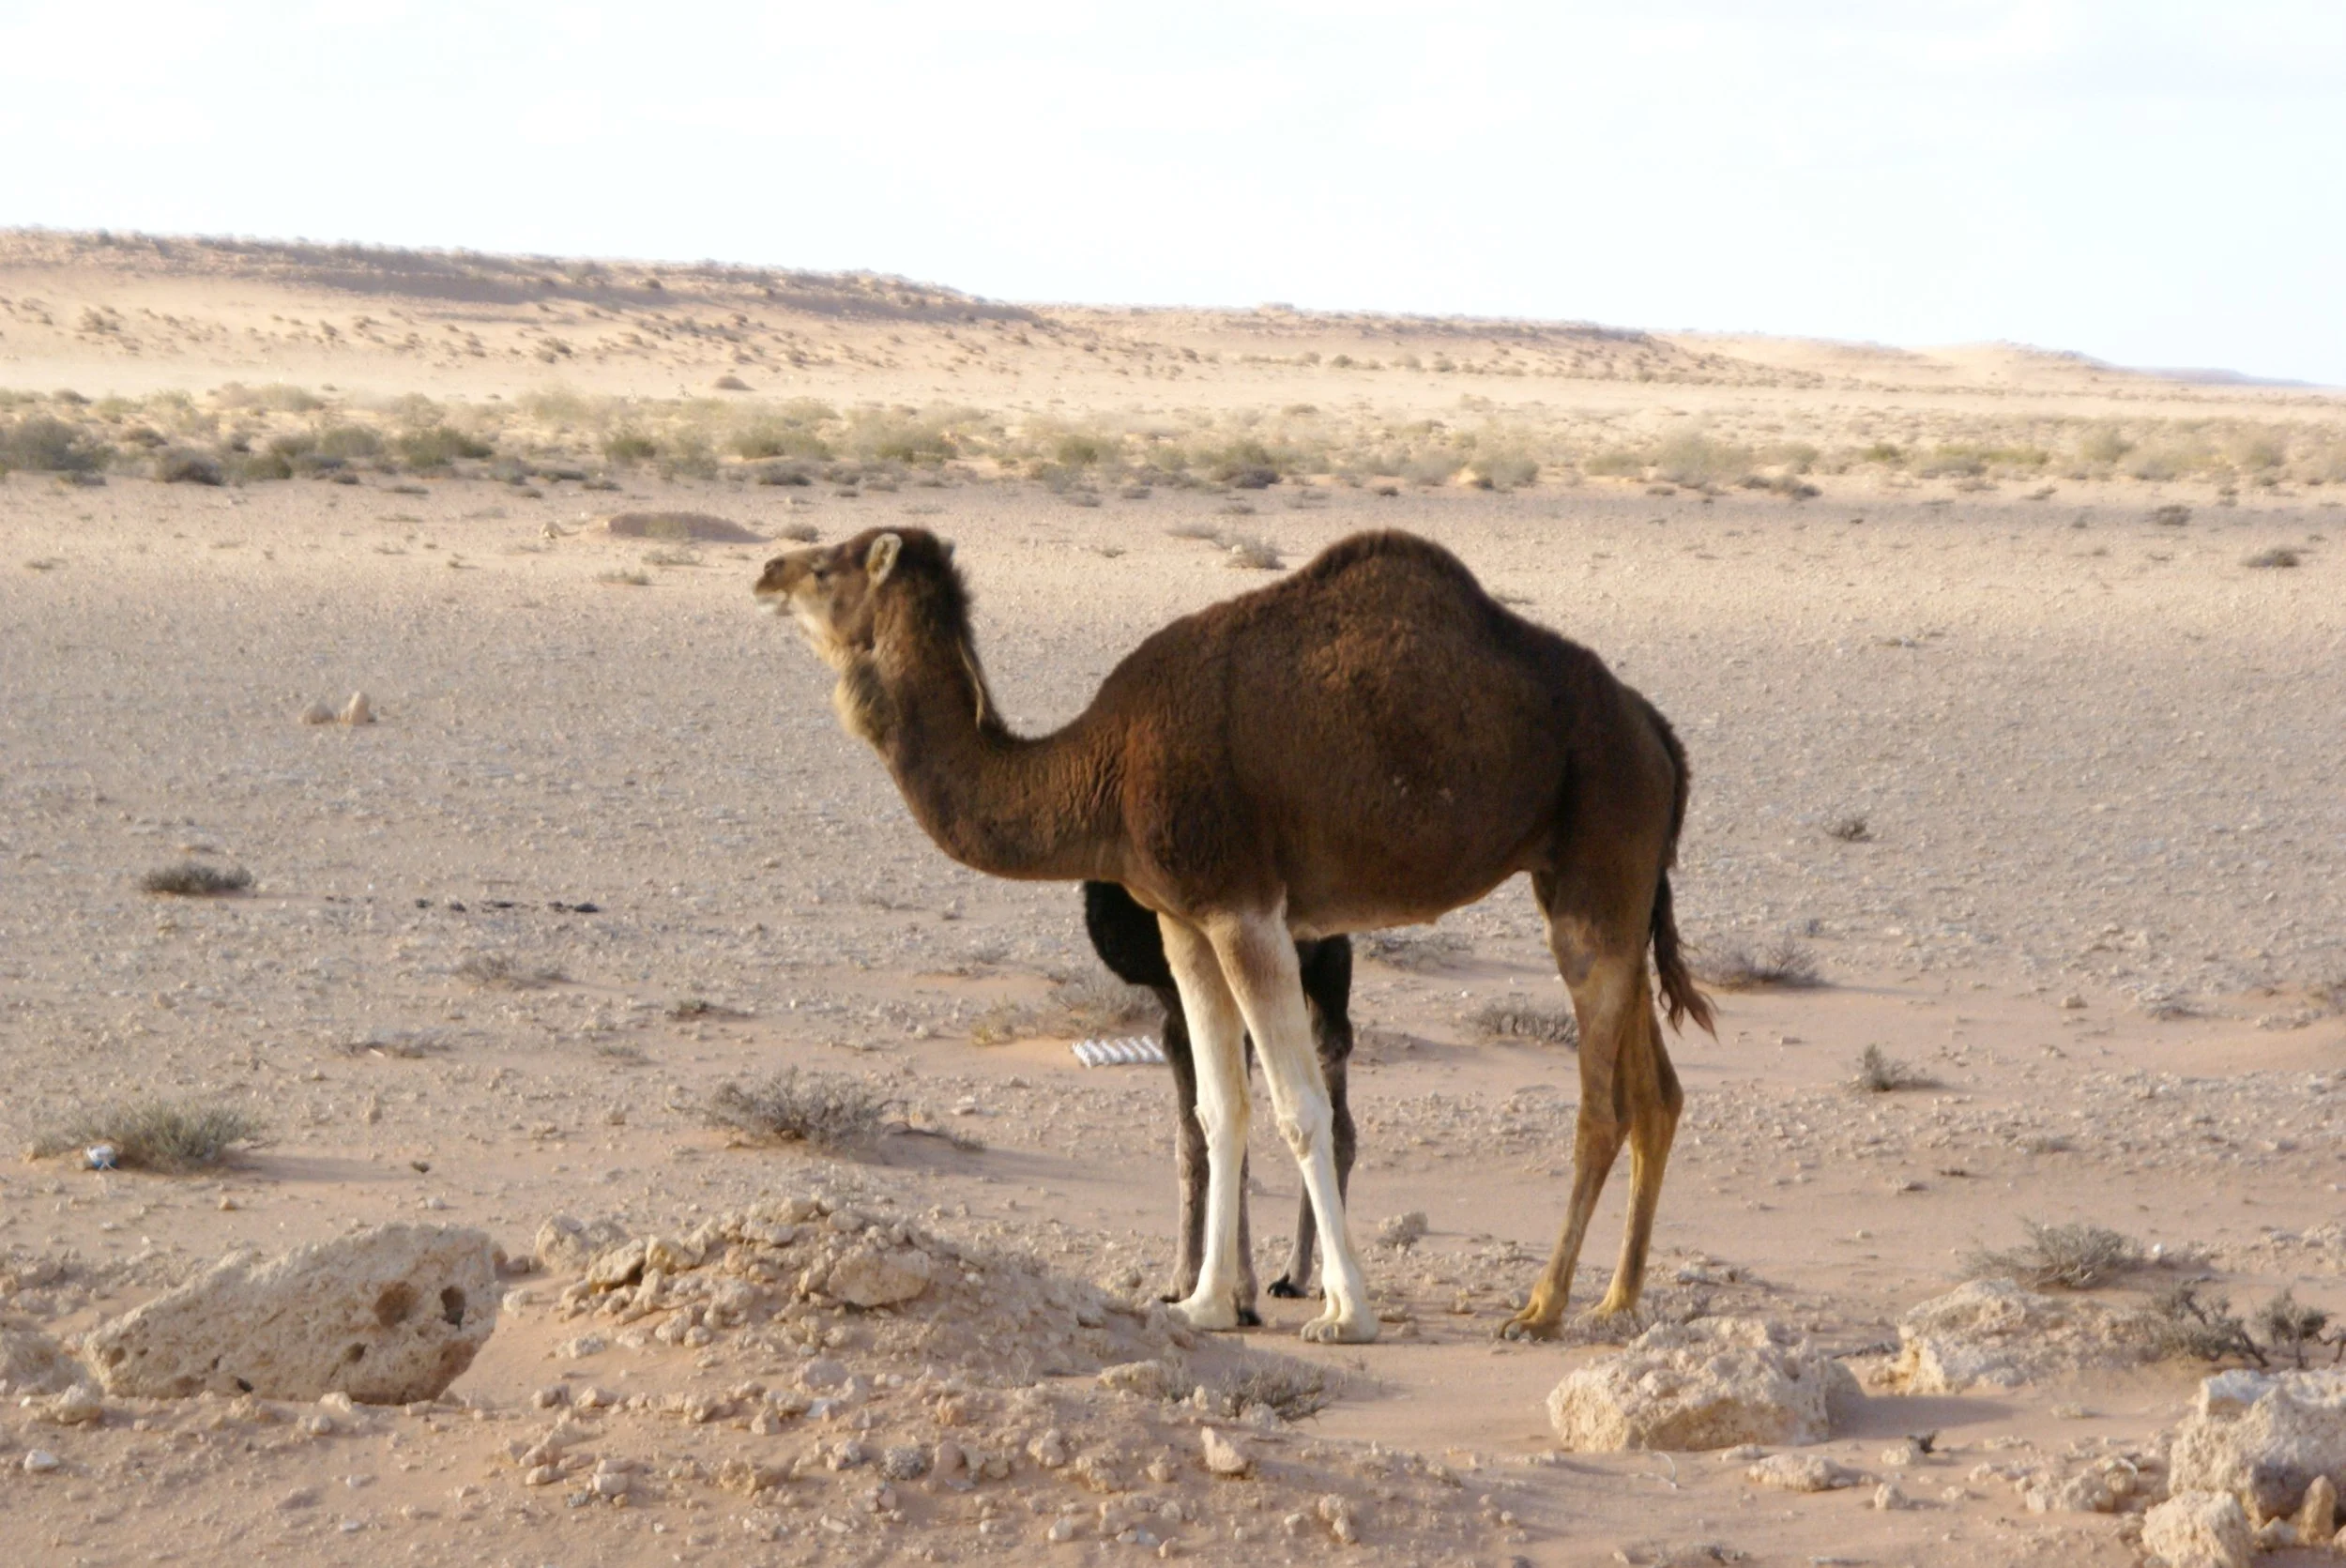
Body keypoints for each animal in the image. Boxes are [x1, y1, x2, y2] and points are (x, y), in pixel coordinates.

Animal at [1083, 879, 1355, 1316]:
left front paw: (1240, 1295)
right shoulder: (1174, 1011)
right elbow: (1192, 1141)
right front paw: (1182, 1284)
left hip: (1328, 964)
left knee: (1336, 1106)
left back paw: (1306, 1278)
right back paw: (1295, 1278)